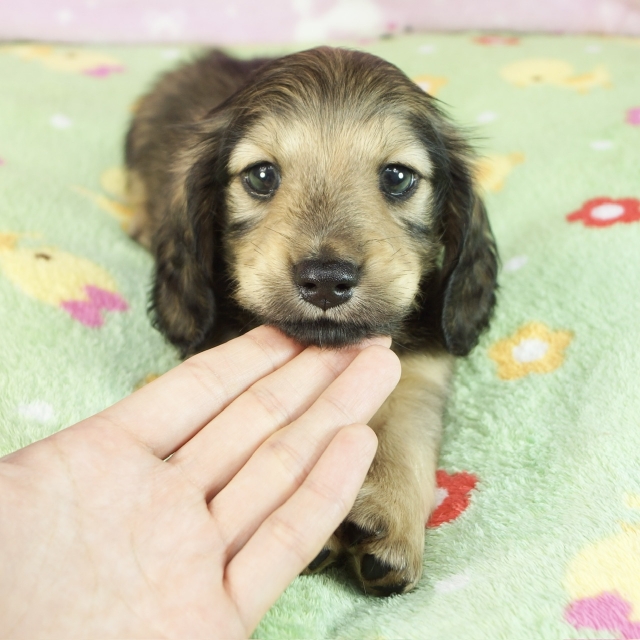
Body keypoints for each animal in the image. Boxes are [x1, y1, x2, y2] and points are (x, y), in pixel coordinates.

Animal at [125, 46, 498, 596]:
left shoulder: (425, 369)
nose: (325, 280)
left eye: (397, 177)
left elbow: (408, 432)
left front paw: (391, 516)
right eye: (261, 176)